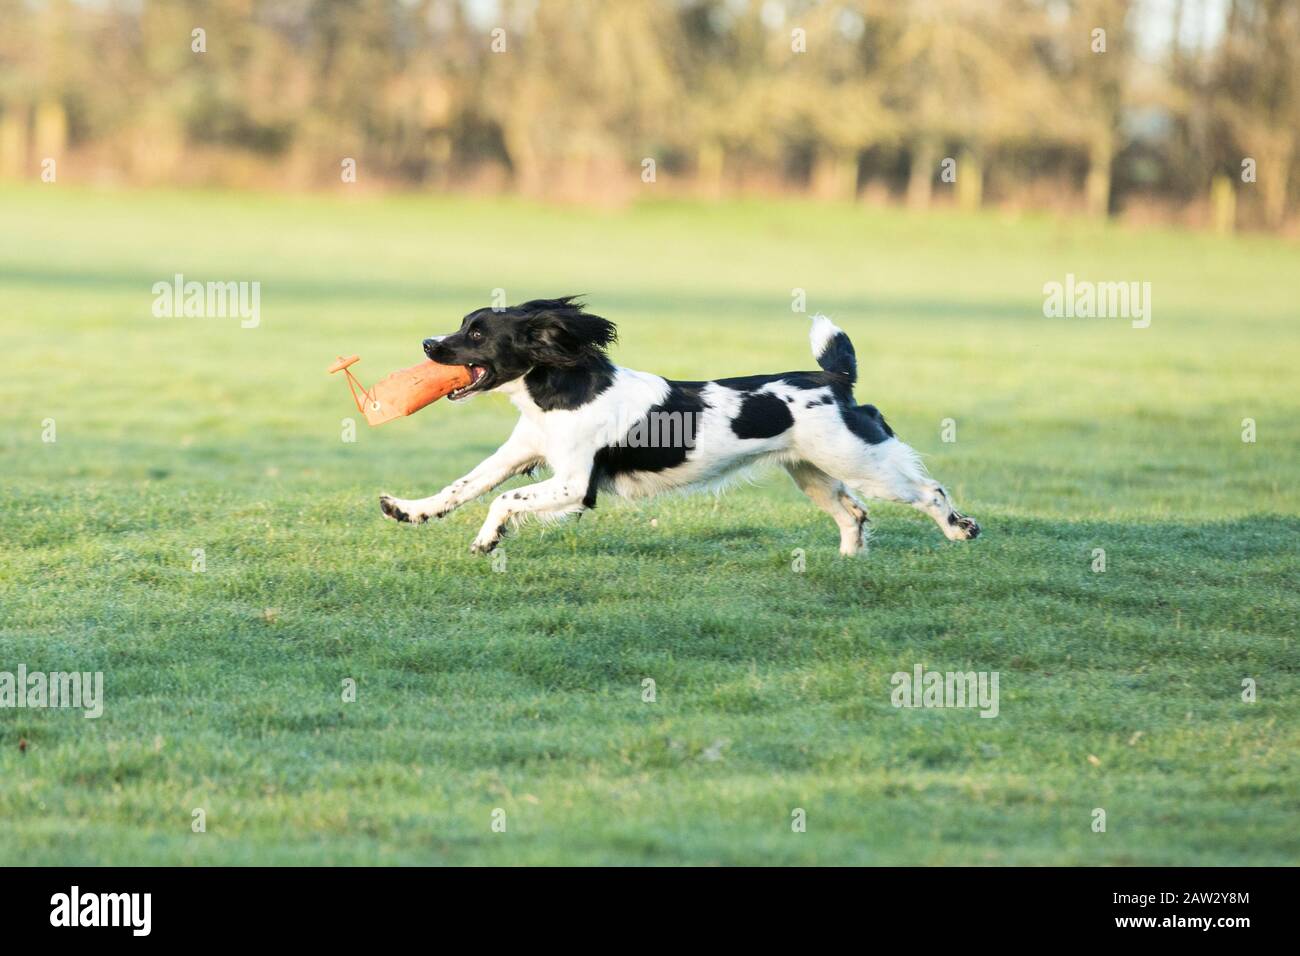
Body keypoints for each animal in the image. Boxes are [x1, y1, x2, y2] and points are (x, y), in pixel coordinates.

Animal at [379, 297, 977, 554]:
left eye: (478, 334)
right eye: (463, 325)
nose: (428, 345)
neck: (562, 390)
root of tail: (836, 378)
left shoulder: (575, 484)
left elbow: (503, 501)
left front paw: (488, 539)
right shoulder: (520, 454)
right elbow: (461, 487)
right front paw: (407, 510)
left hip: (860, 460)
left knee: (928, 490)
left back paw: (960, 529)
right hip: (812, 470)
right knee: (854, 513)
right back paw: (847, 565)